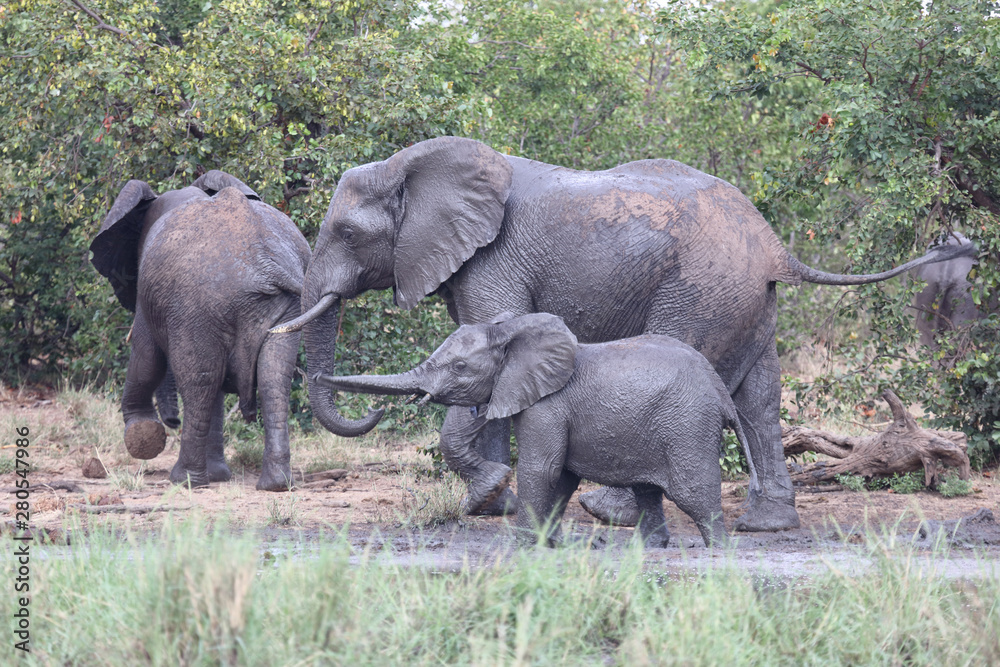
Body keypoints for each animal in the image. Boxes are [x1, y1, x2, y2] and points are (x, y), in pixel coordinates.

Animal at [90, 170, 353, 490]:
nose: (172, 422)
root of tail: (264, 261)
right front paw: (217, 475)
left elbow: (146, 353)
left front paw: (143, 436)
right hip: (281, 308)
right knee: (271, 375)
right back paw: (275, 484)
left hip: (197, 302)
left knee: (200, 378)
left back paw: (184, 480)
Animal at [316, 313, 760, 548]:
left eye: (460, 367)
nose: (315, 374)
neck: (510, 332)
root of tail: (721, 393)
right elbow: (561, 476)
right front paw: (548, 542)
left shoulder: (547, 405)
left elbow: (541, 469)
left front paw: (522, 543)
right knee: (648, 490)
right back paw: (648, 548)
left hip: (687, 424)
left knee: (690, 488)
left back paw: (719, 549)